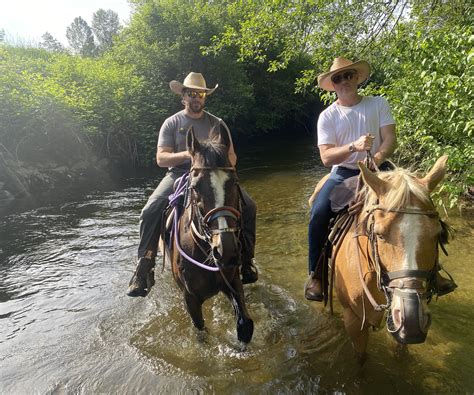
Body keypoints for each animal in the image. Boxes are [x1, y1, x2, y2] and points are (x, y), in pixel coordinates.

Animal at [162, 127, 254, 344]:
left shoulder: (233, 281)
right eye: (195, 187)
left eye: (235, 182)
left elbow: (245, 324)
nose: (226, 250)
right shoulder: (190, 299)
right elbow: (201, 332)